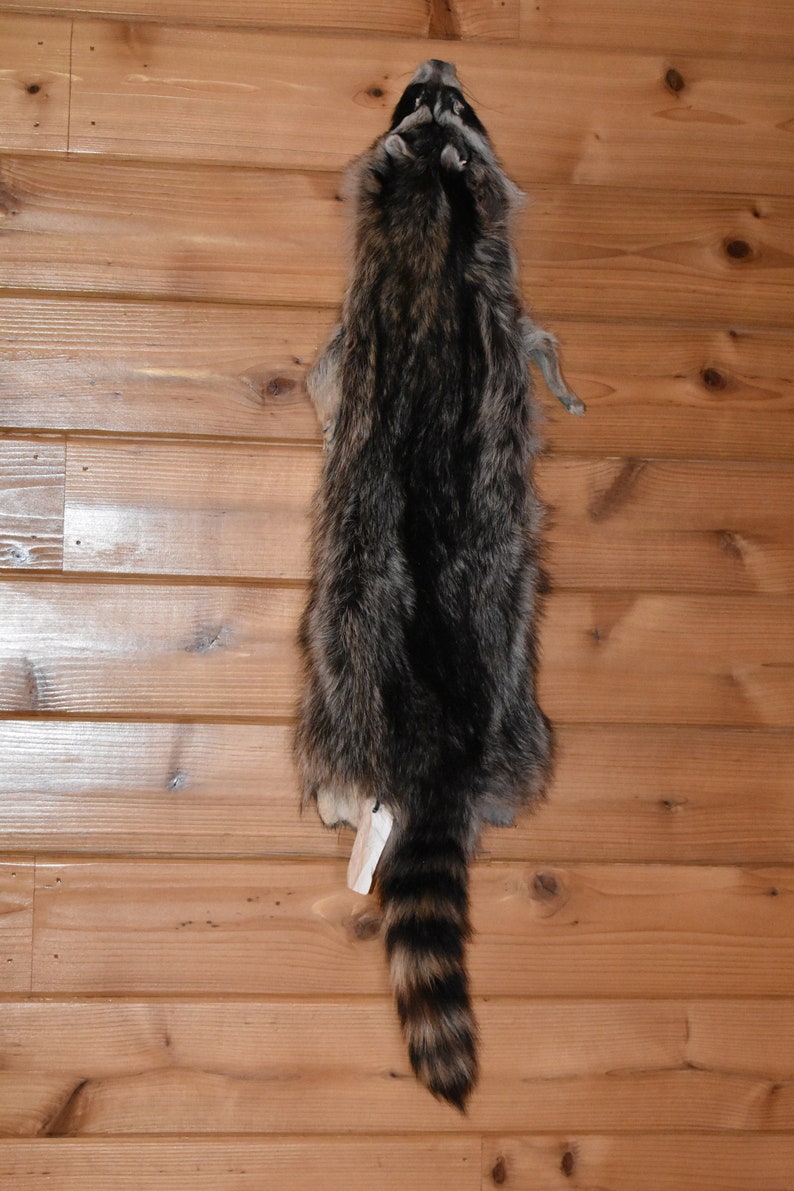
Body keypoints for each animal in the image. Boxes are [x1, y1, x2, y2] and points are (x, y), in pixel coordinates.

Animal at [295, 59, 584, 1110]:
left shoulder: (384, 306)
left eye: (452, 107)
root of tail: (437, 747)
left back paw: (338, 795)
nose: (436, 64)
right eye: (423, 101)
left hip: (342, 659)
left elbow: (328, 378)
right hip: (520, 710)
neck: (429, 205)